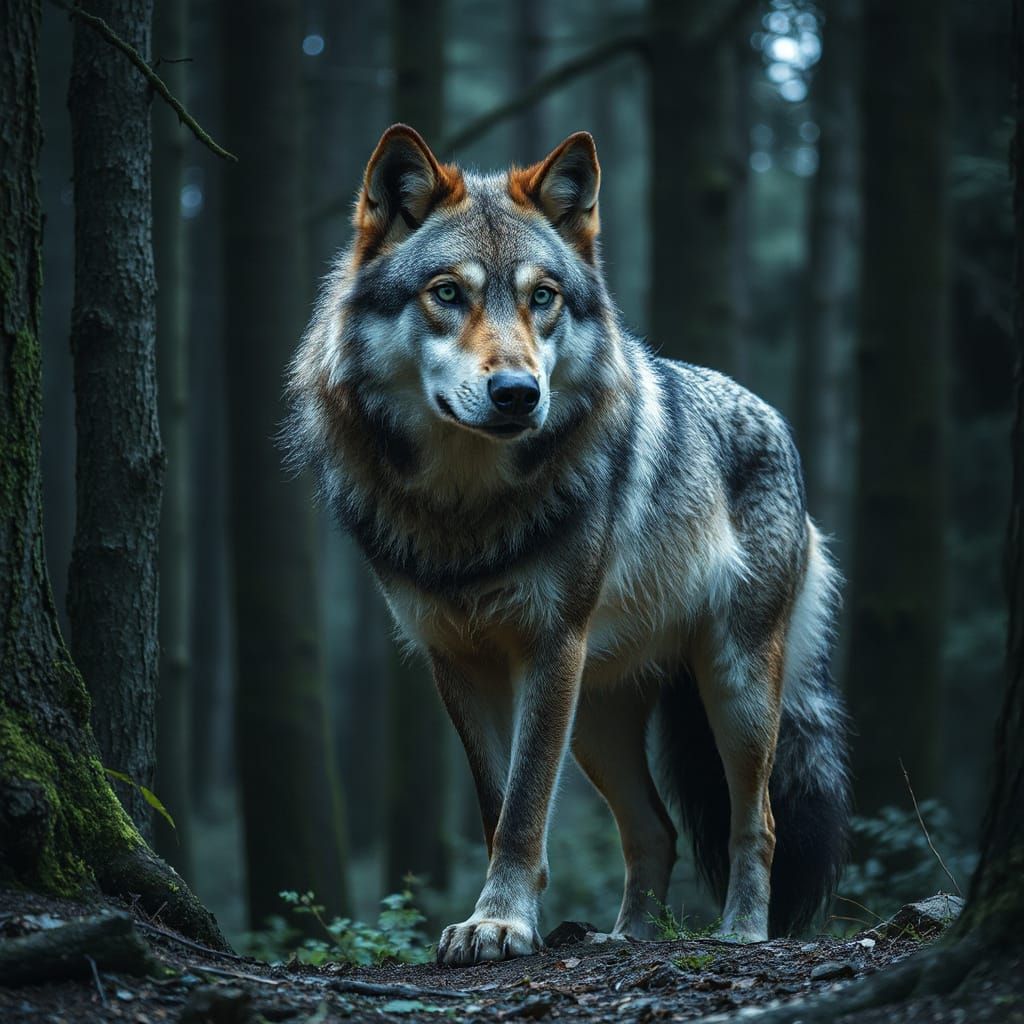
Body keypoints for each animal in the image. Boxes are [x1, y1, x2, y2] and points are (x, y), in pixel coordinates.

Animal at [286, 125, 851, 965]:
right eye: (447, 293)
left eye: (542, 297)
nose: (519, 394)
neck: (466, 508)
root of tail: (773, 418)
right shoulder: (457, 661)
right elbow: (498, 805)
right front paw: (505, 919)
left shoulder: (550, 645)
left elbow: (524, 808)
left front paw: (500, 924)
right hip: (596, 716)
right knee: (655, 829)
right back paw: (626, 937)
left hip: (733, 687)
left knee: (760, 822)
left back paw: (743, 932)